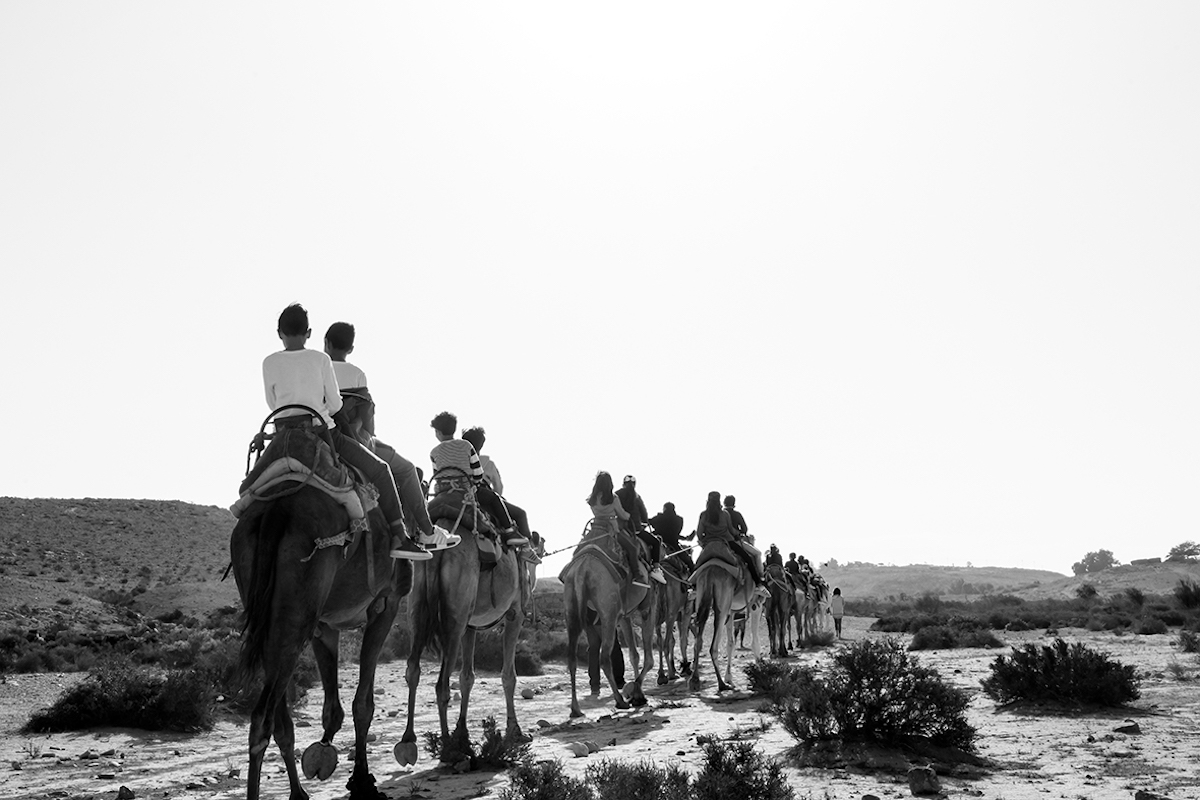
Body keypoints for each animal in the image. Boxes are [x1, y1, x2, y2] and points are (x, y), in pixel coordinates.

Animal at [228, 489, 408, 800]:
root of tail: (276, 510)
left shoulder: (324, 626)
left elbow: (332, 709)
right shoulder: (386, 603)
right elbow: (363, 704)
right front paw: (362, 782)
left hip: (265, 603)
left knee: (279, 718)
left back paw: (299, 793)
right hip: (300, 603)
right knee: (262, 717)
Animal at [396, 515, 528, 767]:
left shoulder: (471, 625)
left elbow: (467, 677)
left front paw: (463, 733)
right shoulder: (515, 613)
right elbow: (509, 676)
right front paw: (515, 730)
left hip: (417, 603)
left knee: (413, 668)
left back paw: (408, 740)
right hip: (455, 614)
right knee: (441, 684)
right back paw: (448, 749)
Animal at [686, 542, 758, 690]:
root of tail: (710, 572)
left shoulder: (732, 611)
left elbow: (730, 643)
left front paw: (729, 677)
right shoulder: (756, 603)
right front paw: (760, 664)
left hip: (703, 595)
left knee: (698, 640)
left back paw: (695, 680)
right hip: (722, 604)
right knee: (713, 646)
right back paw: (721, 684)